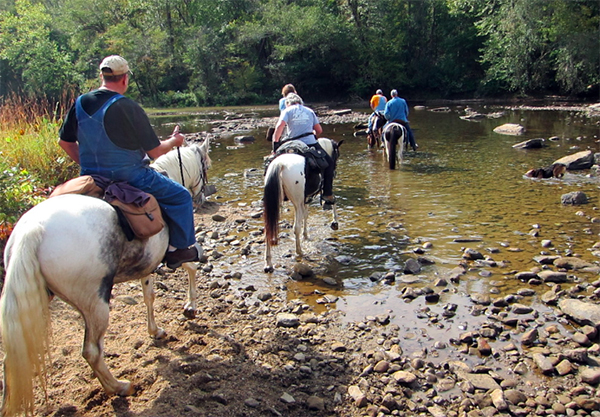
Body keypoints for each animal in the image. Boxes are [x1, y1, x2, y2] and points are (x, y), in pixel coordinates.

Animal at [0, 141, 211, 416]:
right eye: (206, 166)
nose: (204, 197)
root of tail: (33, 229)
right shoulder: (173, 251)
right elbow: (191, 265)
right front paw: (190, 307)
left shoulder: (146, 265)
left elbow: (149, 296)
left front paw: (155, 331)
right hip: (95, 302)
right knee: (92, 351)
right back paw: (120, 387)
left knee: (12, 356)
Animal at [262, 138, 342, 272]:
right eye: (337, 154)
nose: (335, 169)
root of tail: (280, 164)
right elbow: (333, 200)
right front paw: (334, 222)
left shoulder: (306, 199)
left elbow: (306, 215)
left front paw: (306, 235)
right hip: (297, 201)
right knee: (296, 228)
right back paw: (299, 252)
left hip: (275, 201)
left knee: (269, 228)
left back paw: (268, 263)